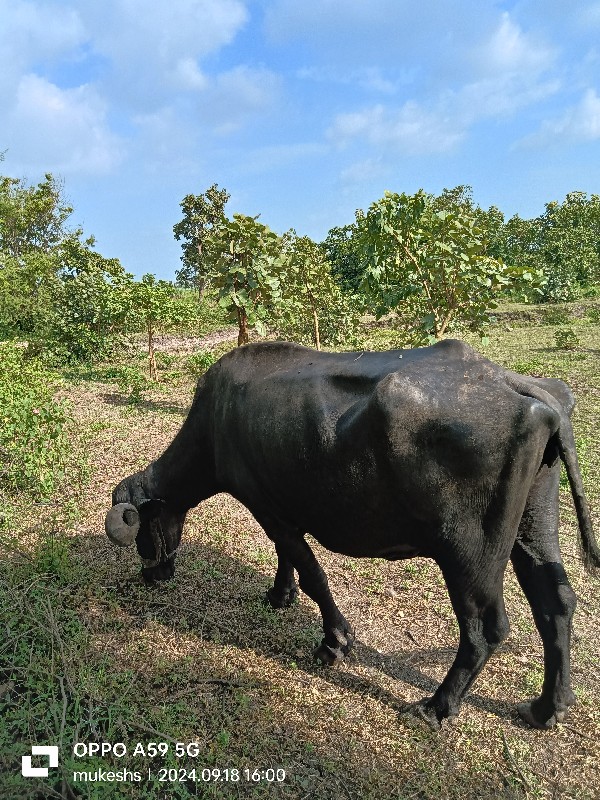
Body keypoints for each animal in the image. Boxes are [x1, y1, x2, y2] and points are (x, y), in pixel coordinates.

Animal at [105, 340, 596, 728]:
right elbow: (286, 557)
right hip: (533, 522)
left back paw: (435, 708)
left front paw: (334, 642)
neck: (215, 424)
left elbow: (312, 572)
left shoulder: (266, 507)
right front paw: (279, 595)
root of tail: (517, 384)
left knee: (485, 627)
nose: (152, 575)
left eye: (145, 528)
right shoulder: (279, 507)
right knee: (556, 601)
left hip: (467, 551)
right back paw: (547, 707)